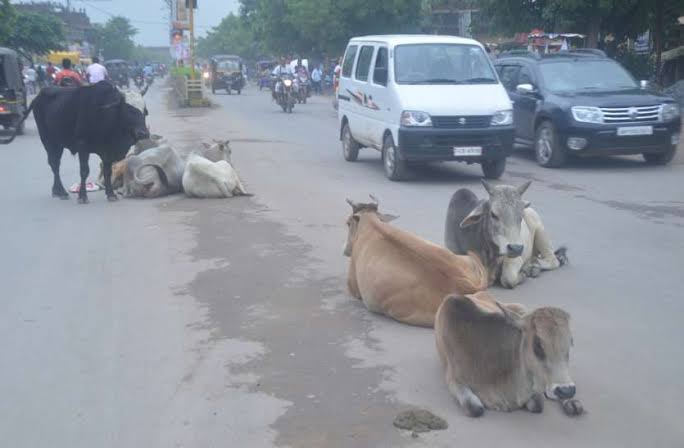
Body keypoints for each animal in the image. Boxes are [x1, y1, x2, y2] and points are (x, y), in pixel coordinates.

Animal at [0, 81, 150, 204]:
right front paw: (82, 196)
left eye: (144, 110)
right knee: (54, 164)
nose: (143, 133)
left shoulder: (107, 150)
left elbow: (107, 172)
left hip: (58, 143)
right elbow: (84, 171)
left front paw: (111, 194)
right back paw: (60, 191)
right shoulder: (82, 146)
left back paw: (57, 191)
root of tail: (40, 94)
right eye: (129, 110)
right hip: (49, 141)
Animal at [436, 292, 584, 418]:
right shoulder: (454, 380)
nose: (566, 390)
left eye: (570, 342)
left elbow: (537, 404)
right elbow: (475, 409)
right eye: (537, 345)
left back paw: (573, 403)